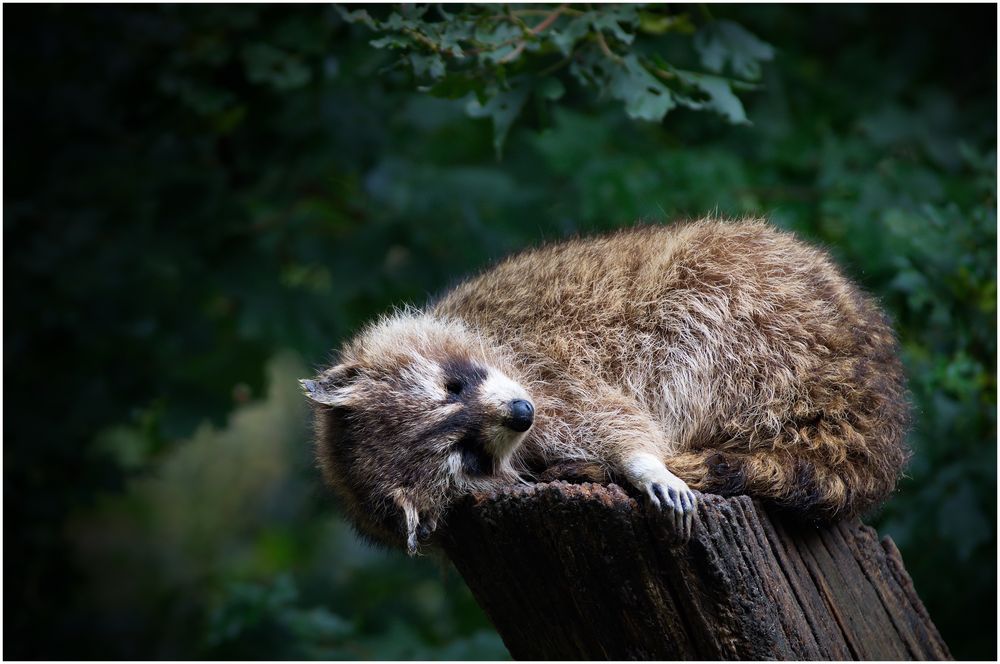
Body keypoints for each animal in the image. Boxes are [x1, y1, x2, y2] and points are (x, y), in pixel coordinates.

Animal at [300, 220, 912, 552]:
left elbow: (604, 411)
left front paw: (640, 458)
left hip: (762, 317)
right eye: (467, 455)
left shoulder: (540, 359)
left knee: (688, 329)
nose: (520, 414)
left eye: (453, 386)